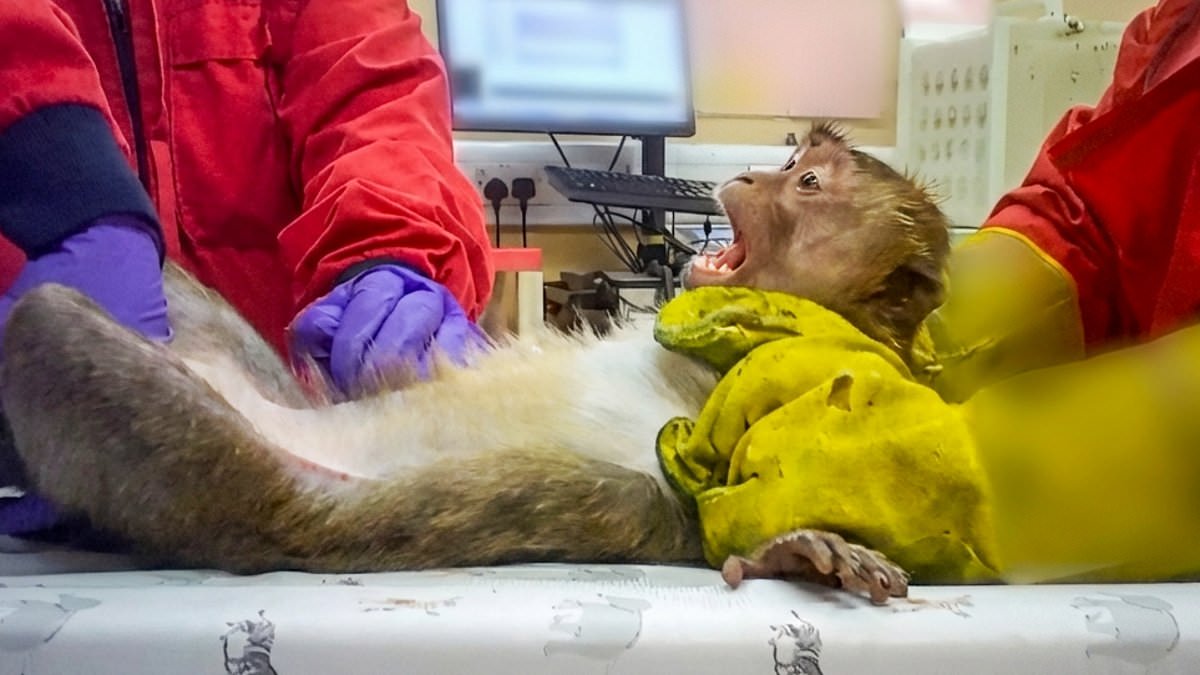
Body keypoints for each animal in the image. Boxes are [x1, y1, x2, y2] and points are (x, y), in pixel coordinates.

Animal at [0, 123, 950, 604]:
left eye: (806, 185)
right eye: (792, 163)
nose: (751, 172)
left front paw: (797, 547)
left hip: (214, 485)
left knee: (46, 323)